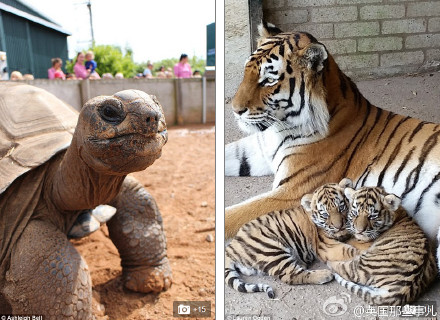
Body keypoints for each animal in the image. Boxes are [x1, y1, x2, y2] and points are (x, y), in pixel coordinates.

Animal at [225, 21, 440, 258]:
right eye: (246, 72)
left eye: (269, 80)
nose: (234, 110)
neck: (279, 128)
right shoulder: (259, 149)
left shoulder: (292, 193)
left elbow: (233, 215)